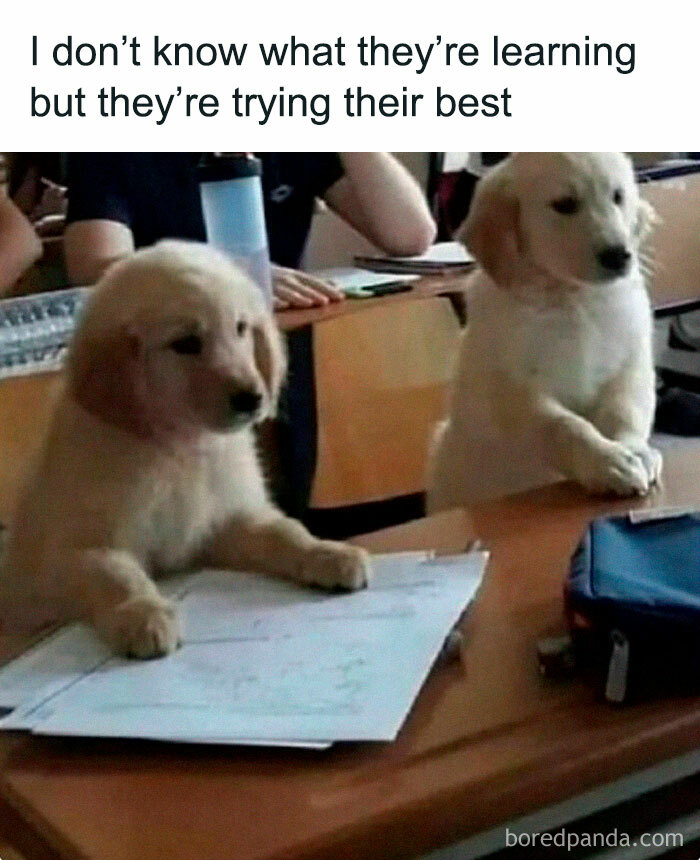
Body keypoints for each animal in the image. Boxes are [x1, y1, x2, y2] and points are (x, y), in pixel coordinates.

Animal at [0, 242, 370, 660]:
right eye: (186, 344)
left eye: (241, 328)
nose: (252, 398)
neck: (181, 447)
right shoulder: (72, 553)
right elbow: (116, 576)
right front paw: (143, 614)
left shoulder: (222, 524)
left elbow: (285, 531)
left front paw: (327, 553)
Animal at [426, 152, 660, 510]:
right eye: (564, 205)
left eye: (618, 197)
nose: (620, 255)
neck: (571, 297)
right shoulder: (514, 391)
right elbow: (564, 425)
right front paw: (609, 464)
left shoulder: (630, 365)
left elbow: (625, 410)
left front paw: (636, 452)